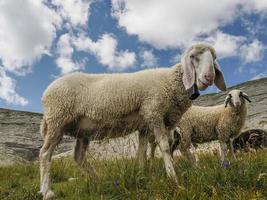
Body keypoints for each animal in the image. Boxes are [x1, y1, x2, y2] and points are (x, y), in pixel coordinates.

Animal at [39, 43, 227, 198]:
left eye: (214, 59)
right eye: (193, 57)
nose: (209, 77)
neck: (172, 82)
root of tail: (46, 92)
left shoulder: (145, 124)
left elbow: (142, 152)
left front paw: (143, 176)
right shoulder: (154, 113)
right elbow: (165, 147)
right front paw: (173, 179)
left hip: (82, 130)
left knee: (78, 156)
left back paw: (99, 180)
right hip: (57, 120)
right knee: (45, 153)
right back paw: (46, 191)